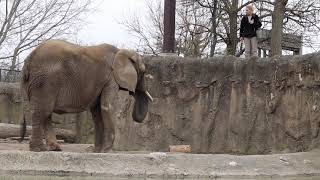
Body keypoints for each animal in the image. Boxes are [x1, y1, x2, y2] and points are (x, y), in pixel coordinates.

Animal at [20, 39, 152, 152]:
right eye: (143, 72)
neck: (121, 51)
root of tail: (29, 59)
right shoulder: (111, 79)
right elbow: (106, 107)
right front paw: (106, 151)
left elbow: (97, 112)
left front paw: (96, 151)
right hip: (44, 82)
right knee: (42, 111)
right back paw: (39, 149)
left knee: (45, 113)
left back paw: (54, 149)